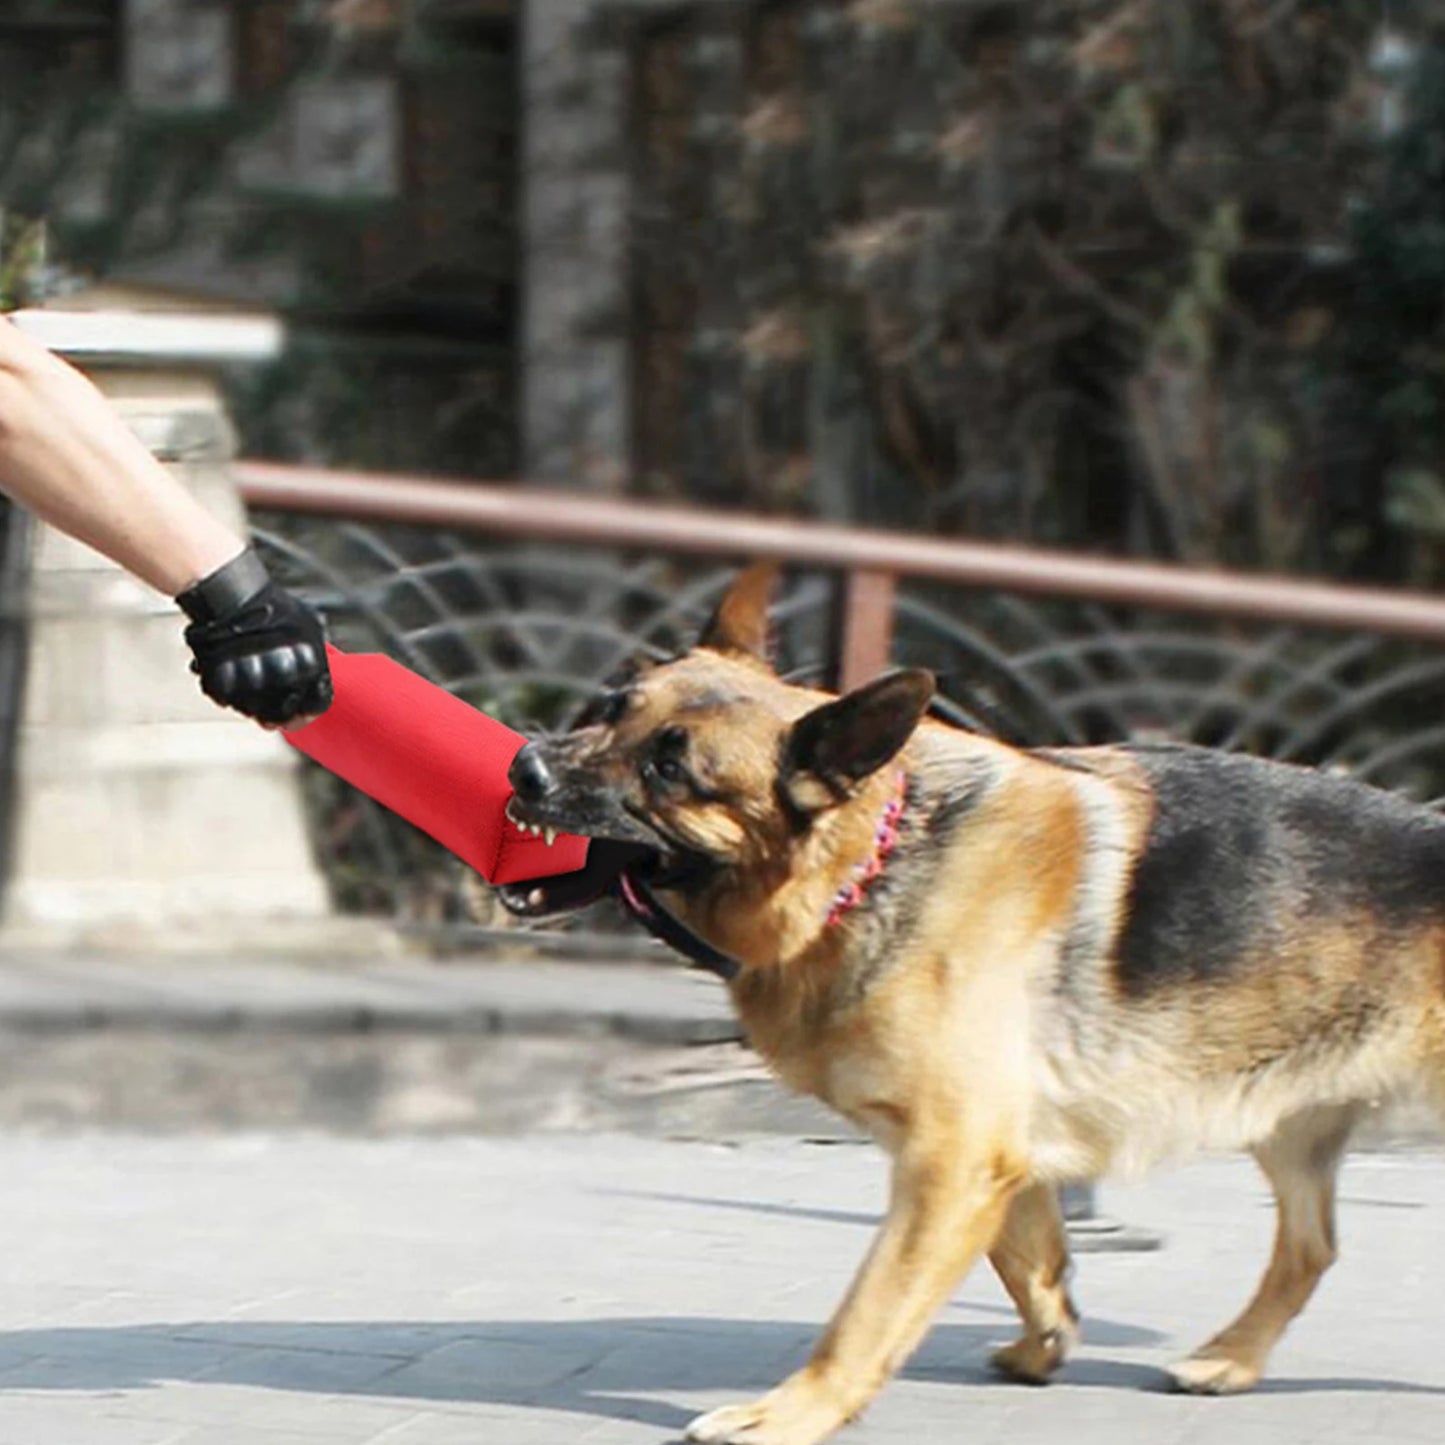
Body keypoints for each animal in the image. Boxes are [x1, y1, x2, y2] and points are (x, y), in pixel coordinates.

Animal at [497, 563, 1445, 1445]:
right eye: (609, 706)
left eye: (669, 767)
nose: (523, 765)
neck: (869, 858)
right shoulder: (982, 1155)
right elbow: (1027, 1256)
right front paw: (1045, 1339)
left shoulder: (950, 1158)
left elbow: (868, 1309)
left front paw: (794, 1411)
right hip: (1286, 1125)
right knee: (1310, 1246)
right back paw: (1231, 1357)